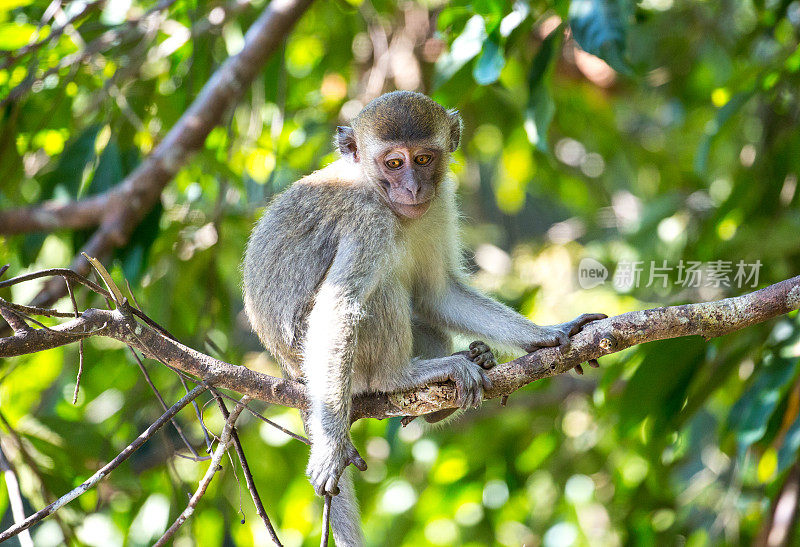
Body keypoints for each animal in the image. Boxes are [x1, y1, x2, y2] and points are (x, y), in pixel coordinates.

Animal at [241, 92, 604, 544]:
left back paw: (458, 377)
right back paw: (401, 377)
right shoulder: (367, 220)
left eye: (425, 158)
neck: (375, 190)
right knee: (380, 292)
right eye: (394, 163)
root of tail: (292, 372)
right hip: (350, 368)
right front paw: (331, 446)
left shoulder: (440, 202)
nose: (413, 187)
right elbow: (339, 307)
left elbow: (437, 293)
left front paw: (547, 334)